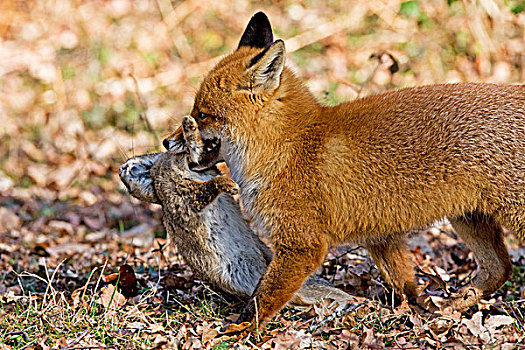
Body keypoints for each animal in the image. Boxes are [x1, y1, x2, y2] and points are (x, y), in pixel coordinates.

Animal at [164, 12, 524, 330]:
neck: (288, 145)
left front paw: (239, 330)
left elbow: (262, 297)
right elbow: (405, 287)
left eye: (203, 114)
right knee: (499, 269)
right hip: (470, 218)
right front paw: (415, 315)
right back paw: (457, 305)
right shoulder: (381, 236)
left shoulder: (302, 245)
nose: (167, 143)